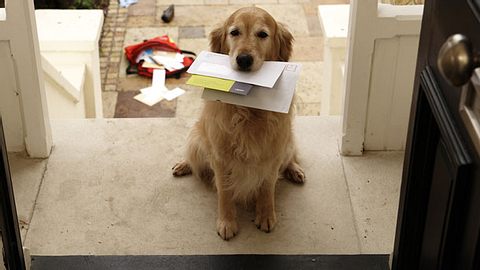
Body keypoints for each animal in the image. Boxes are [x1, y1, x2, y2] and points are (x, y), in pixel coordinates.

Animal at [171, 6, 304, 239]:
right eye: (234, 32)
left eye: (262, 34)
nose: (243, 59)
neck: (247, 110)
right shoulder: (220, 156)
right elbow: (224, 192)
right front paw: (227, 222)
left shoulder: (273, 153)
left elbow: (267, 187)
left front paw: (266, 215)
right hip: (197, 140)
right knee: (194, 158)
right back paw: (183, 164)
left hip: (287, 142)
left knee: (291, 158)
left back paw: (295, 170)